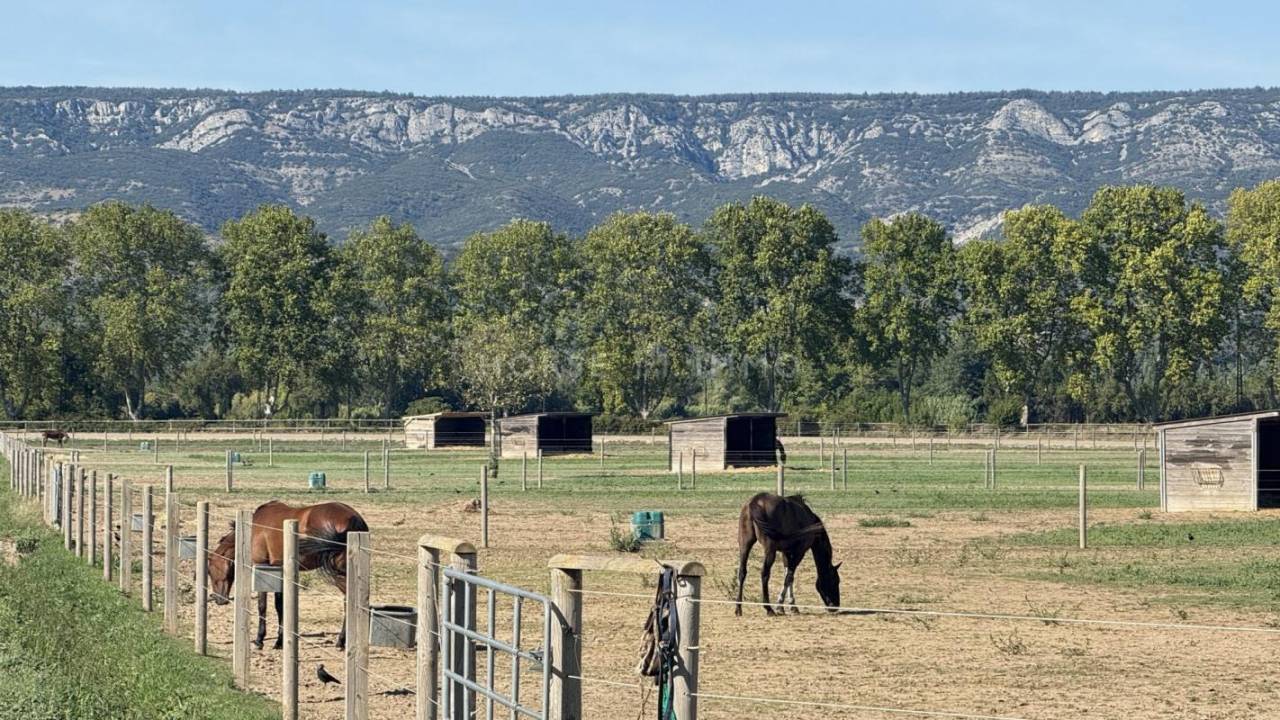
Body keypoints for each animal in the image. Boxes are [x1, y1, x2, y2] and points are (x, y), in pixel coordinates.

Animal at [207, 501, 368, 649]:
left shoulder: (263, 567)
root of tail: (354, 518)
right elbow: (280, 606)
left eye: (209, 571)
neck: (253, 529)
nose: (219, 600)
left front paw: (260, 639)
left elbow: (263, 606)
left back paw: (342, 641)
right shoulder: (280, 571)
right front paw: (280, 641)